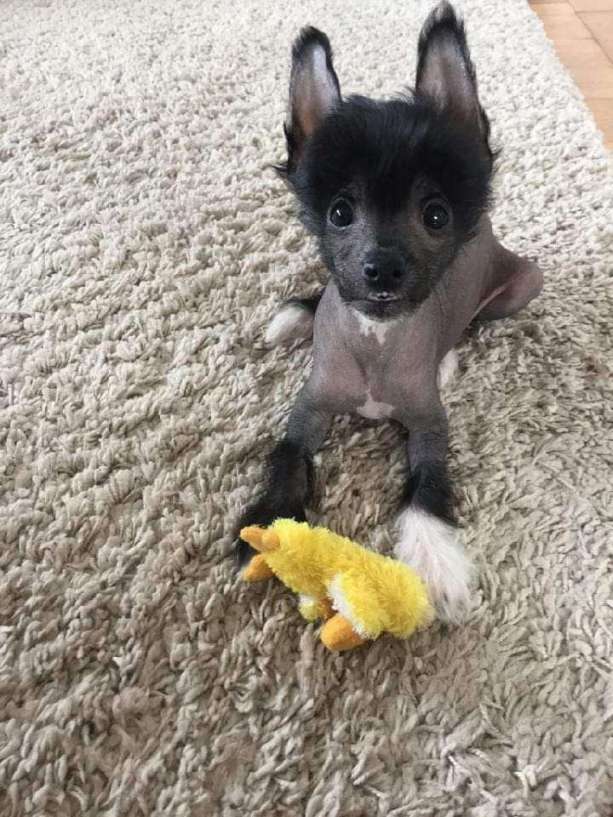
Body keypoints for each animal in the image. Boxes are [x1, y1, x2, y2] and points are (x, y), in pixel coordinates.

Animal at [236, 1, 543, 622]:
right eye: (339, 211)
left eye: (435, 215)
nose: (382, 270)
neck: (376, 340)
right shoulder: (308, 409)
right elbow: (286, 457)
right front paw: (266, 527)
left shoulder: (429, 424)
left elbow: (428, 481)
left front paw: (436, 564)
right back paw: (298, 315)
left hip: (525, 283)